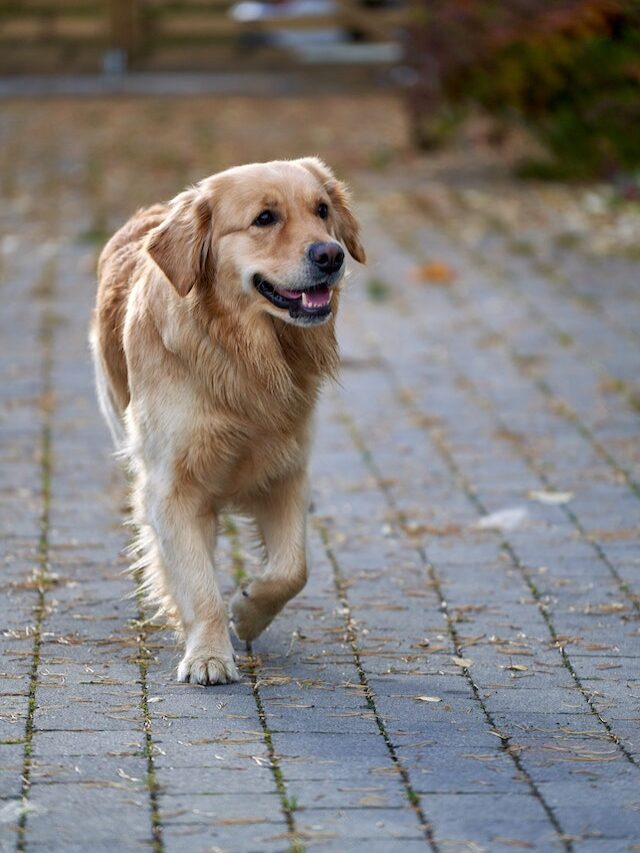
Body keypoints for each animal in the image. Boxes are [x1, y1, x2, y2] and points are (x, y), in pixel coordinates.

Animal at [92, 156, 368, 684]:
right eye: (264, 218)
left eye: (322, 210)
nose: (332, 254)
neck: (242, 353)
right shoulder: (171, 488)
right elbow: (199, 584)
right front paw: (208, 655)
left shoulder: (287, 470)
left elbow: (292, 568)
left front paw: (248, 610)